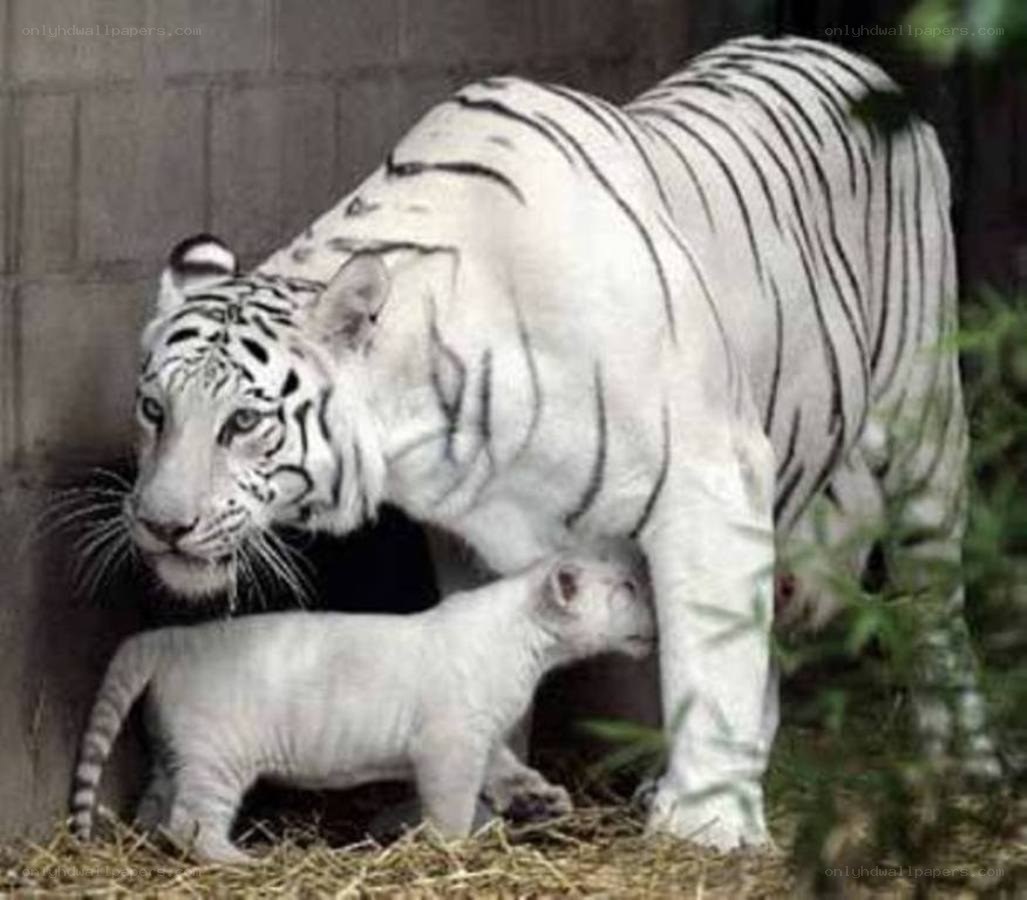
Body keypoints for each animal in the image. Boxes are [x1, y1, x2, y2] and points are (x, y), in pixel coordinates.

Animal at [119, 35, 999, 849]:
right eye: (154, 410)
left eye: (243, 422)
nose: (160, 525)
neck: (429, 416)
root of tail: (842, 54)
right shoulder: (466, 529)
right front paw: (495, 797)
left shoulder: (709, 477)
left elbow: (707, 648)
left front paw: (705, 823)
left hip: (923, 428)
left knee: (933, 603)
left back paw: (964, 764)